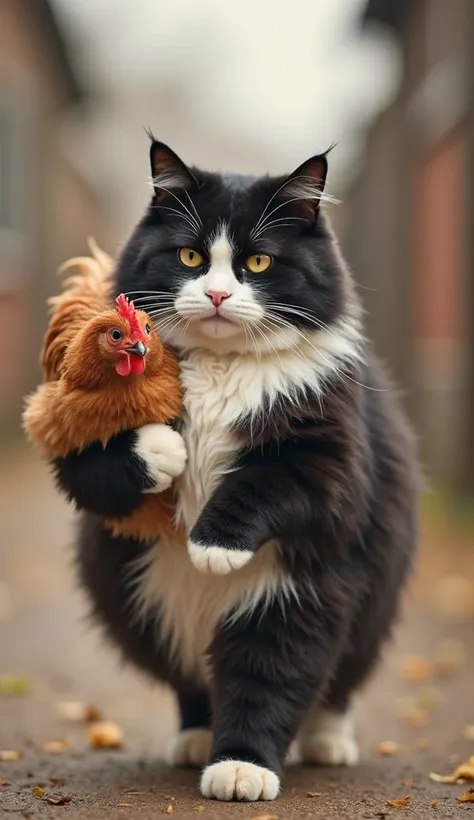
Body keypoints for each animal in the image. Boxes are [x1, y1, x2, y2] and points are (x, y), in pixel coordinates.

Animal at [52, 139, 418, 800]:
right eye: (191, 256)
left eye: (260, 262)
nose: (219, 296)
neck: (223, 367)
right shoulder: (83, 457)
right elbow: (98, 470)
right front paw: (163, 450)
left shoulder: (330, 468)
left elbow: (264, 483)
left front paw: (214, 546)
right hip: (144, 603)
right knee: (197, 680)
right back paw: (200, 738)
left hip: (307, 594)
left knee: (290, 674)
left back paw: (264, 759)